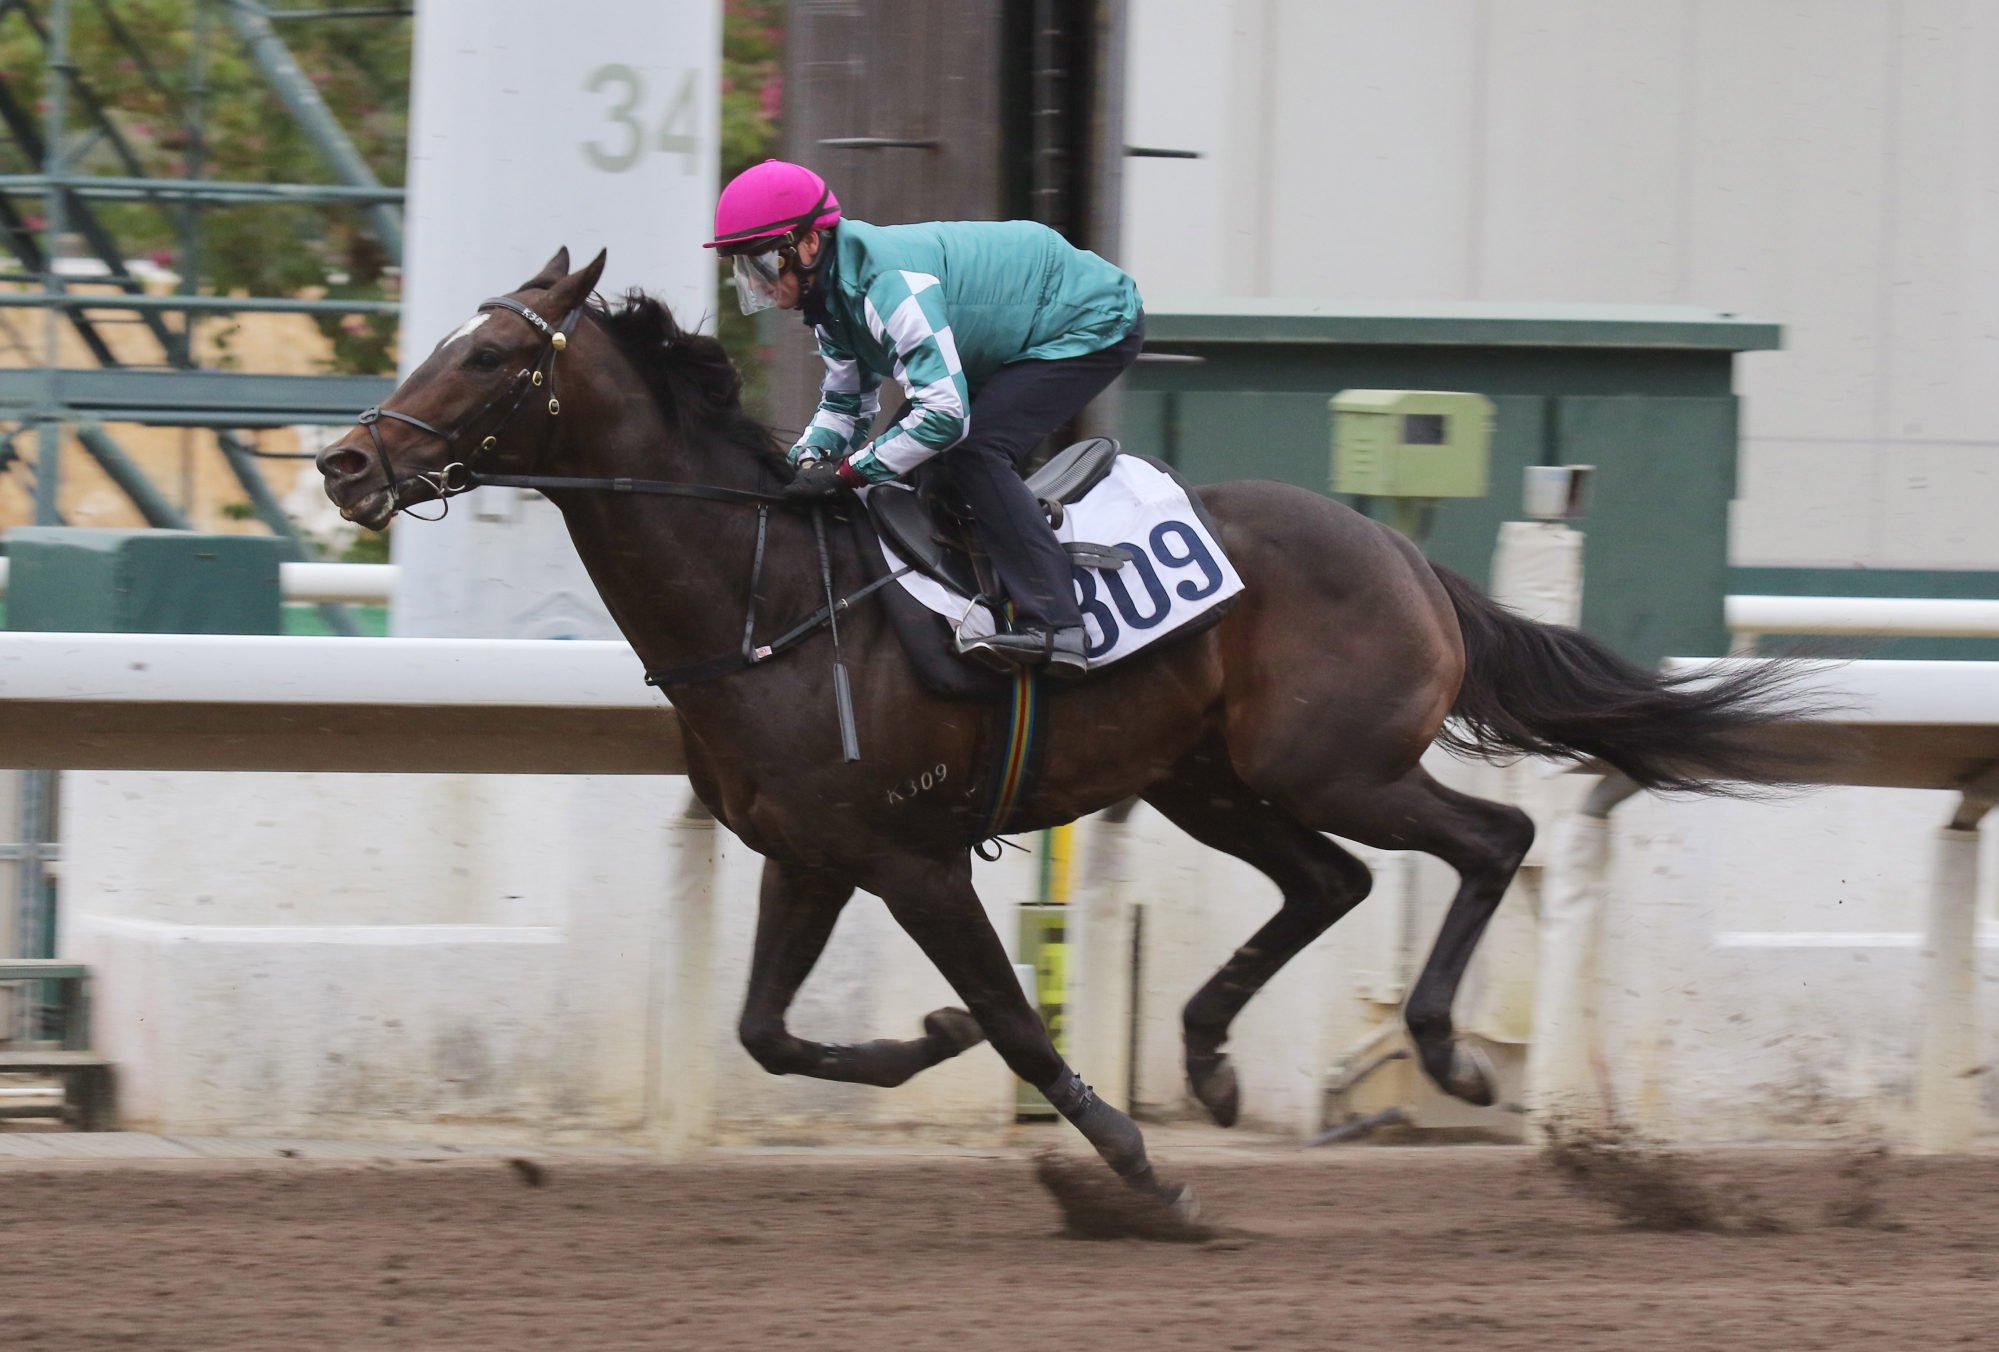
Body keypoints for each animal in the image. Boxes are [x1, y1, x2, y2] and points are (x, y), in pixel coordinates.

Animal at [319, 248, 1823, 1208]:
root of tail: (1401, 552)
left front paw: (1125, 1163)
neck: (771, 597)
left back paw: (1444, 1052)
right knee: (1328, 881)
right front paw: (925, 1044)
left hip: (1330, 759)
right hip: (1206, 778)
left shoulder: (910, 855)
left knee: (1489, 835)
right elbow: (765, 1031)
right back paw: (1210, 1058)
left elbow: (1012, 1016)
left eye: (491, 354)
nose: (345, 462)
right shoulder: (807, 851)